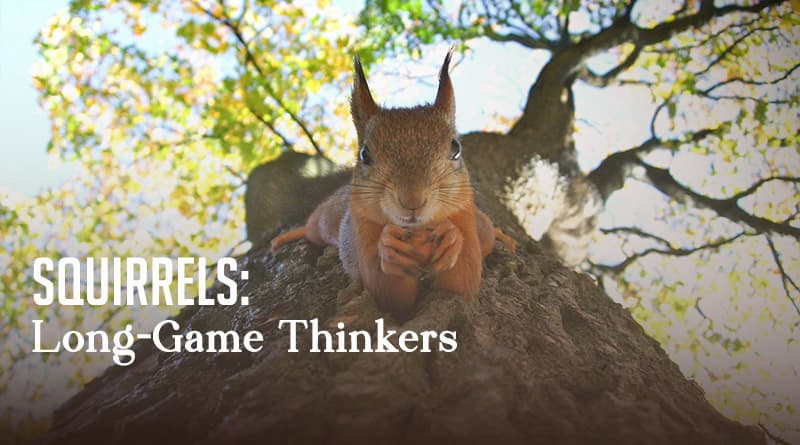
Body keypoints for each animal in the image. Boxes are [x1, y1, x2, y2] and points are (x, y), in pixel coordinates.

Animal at [271, 49, 516, 320]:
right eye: (365, 154)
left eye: (456, 148)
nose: (412, 201)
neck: (418, 233)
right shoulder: (362, 231)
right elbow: (389, 294)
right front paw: (389, 248)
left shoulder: (465, 218)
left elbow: (462, 281)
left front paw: (451, 239)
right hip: (325, 221)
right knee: (312, 227)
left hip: (481, 225)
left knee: (488, 231)